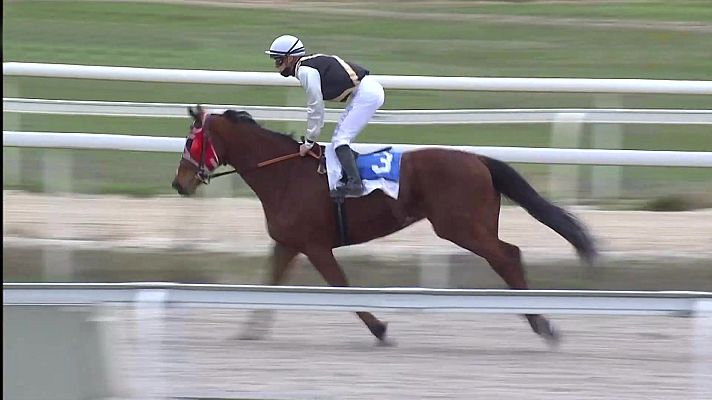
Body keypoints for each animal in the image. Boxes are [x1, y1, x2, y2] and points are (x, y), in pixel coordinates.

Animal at [172, 105, 597, 345]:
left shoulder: (315, 246)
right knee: (509, 255)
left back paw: (541, 323)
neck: (285, 174)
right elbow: (269, 284)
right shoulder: (288, 244)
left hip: (462, 227)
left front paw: (380, 329)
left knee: (507, 256)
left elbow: (342, 287)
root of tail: (478, 160)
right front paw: (248, 331)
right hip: (470, 226)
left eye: (190, 142)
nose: (179, 183)